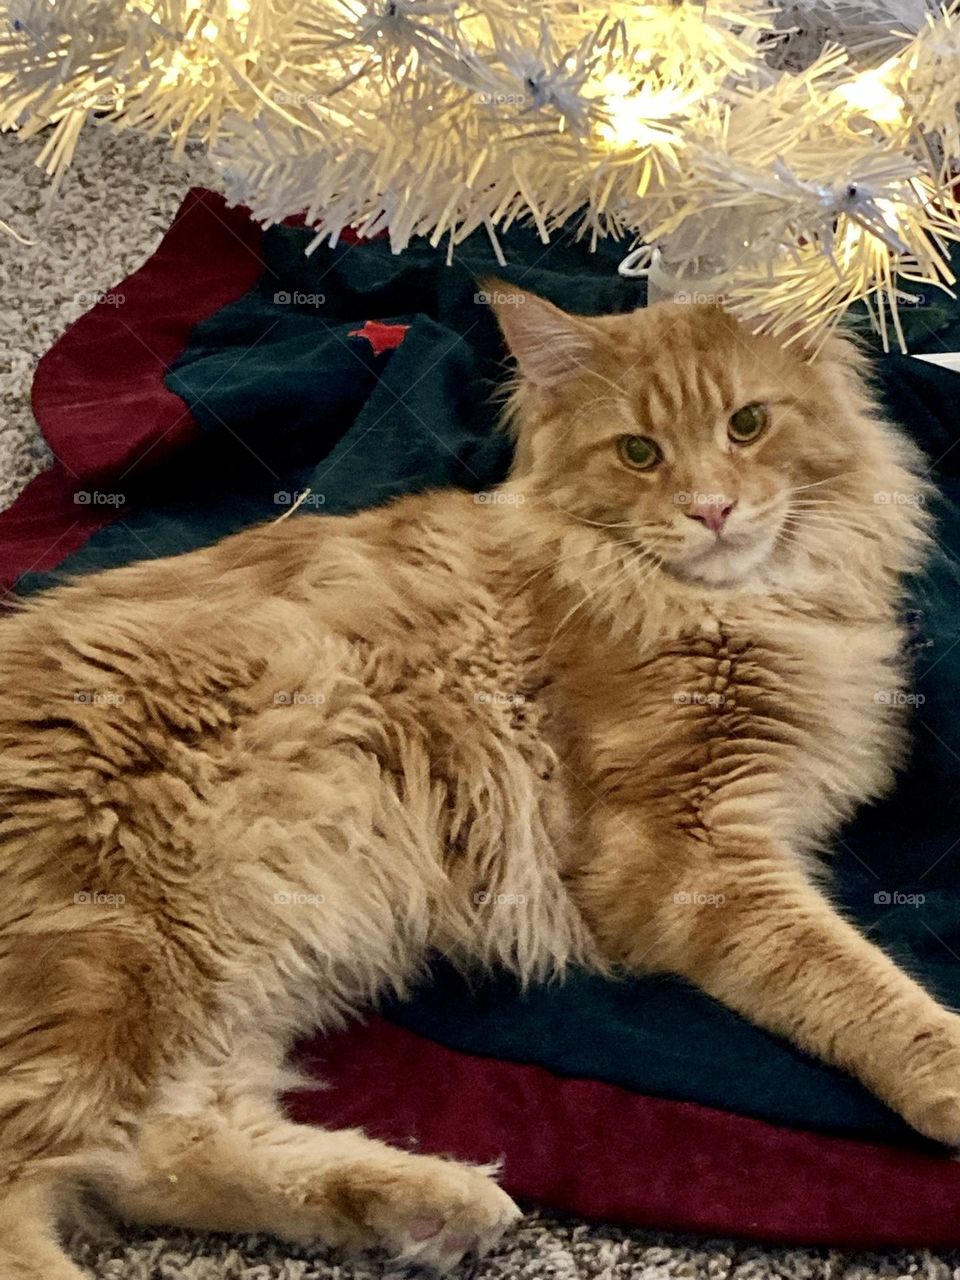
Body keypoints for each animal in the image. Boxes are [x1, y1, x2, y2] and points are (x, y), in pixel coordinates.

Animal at [0, 294, 947, 1274]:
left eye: (748, 425)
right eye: (638, 452)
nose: (711, 510)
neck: (731, 605)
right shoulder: (683, 854)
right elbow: (856, 987)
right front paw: (948, 1077)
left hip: (237, 960)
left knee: (160, 1148)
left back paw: (427, 1203)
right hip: (117, 958)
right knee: (38, 1177)